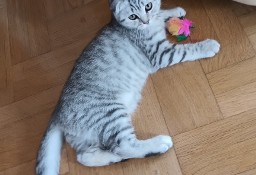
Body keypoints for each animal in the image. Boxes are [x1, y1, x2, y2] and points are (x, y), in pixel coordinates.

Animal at [36, 0, 220, 175]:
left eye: (148, 6)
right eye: (132, 17)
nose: (145, 21)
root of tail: (57, 112)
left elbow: (161, 12)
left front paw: (174, 11)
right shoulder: (160, 53)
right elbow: (186, 50)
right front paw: (208, 46)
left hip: (88, 138)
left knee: (85, 156)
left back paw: (114, 158)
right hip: (110, 115)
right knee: (124, 145)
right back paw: (157, 145)